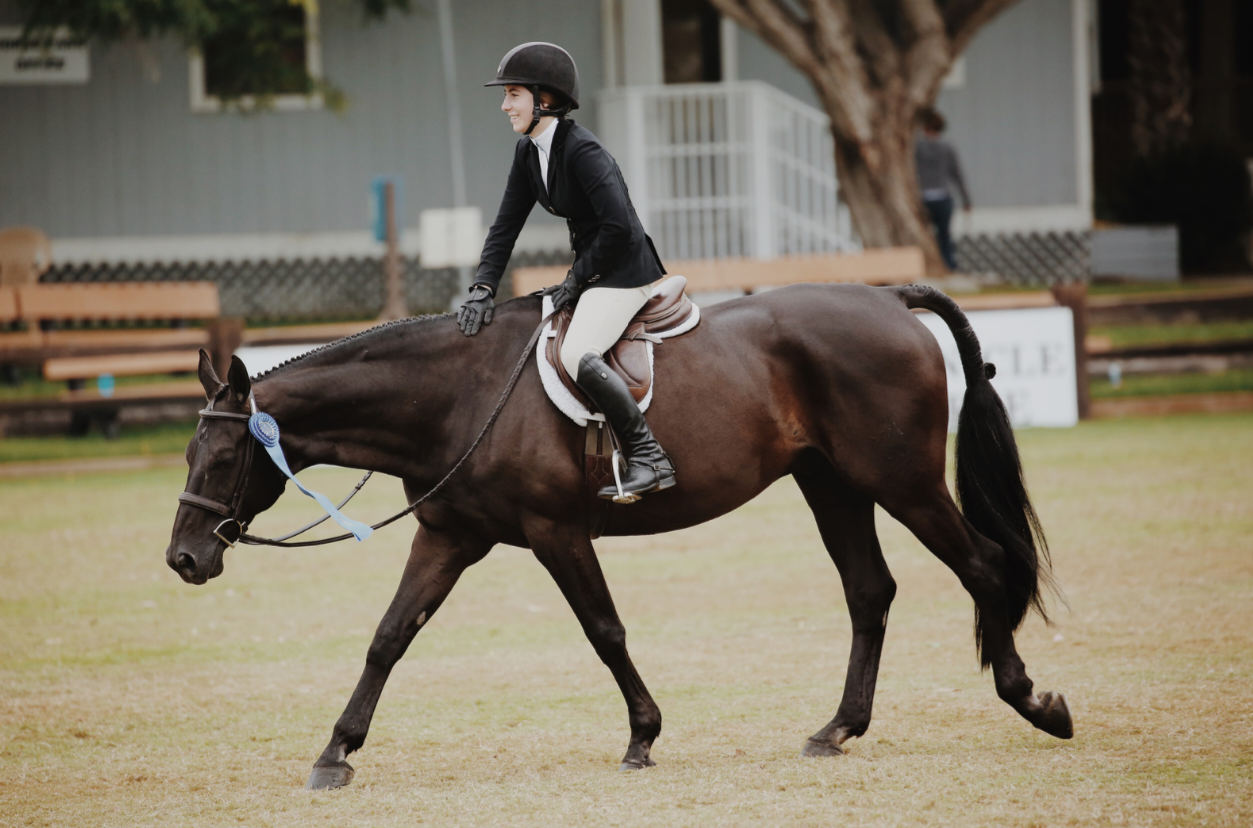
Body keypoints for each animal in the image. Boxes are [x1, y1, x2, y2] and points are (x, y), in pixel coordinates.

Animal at [164, 283, 1067, 786]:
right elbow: (389, 638)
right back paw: (836, 728)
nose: (183, 559)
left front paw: (642, 737)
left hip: (899, 481)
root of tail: (886, 300)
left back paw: (1032, 701)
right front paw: (336, 752)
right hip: (832, 485)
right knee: (869, 592)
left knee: (984, 567)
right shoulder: (449, 537)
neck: (456, 394)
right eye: (190, 452)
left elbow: (603, 631)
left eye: (223, 457)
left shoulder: (556, 532)